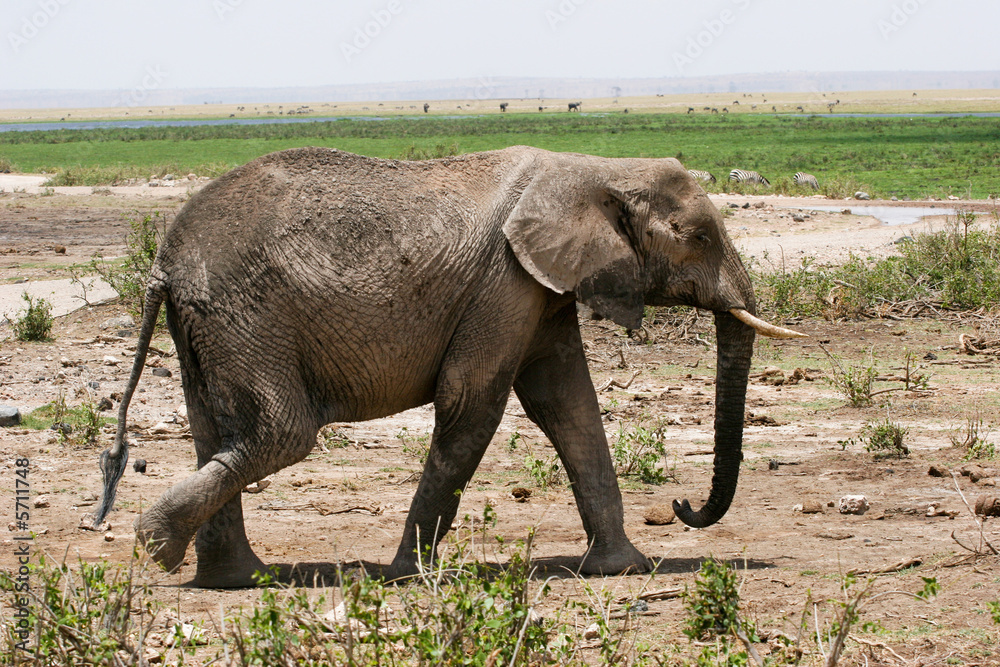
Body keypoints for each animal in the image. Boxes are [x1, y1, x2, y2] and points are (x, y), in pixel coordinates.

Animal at [93, 145, 803, 588]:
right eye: (699, 237)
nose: (682, 506)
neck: (593, 170)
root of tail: (163, 260)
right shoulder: (503, 282)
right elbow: (473, 404)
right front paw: (408, 576)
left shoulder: (538, 288)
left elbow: (567, 404)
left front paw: (623, 569)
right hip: (246, 314)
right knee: (281, 435)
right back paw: (157, 547)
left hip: (210, 322)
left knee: (215, 431)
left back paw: (235, 579)